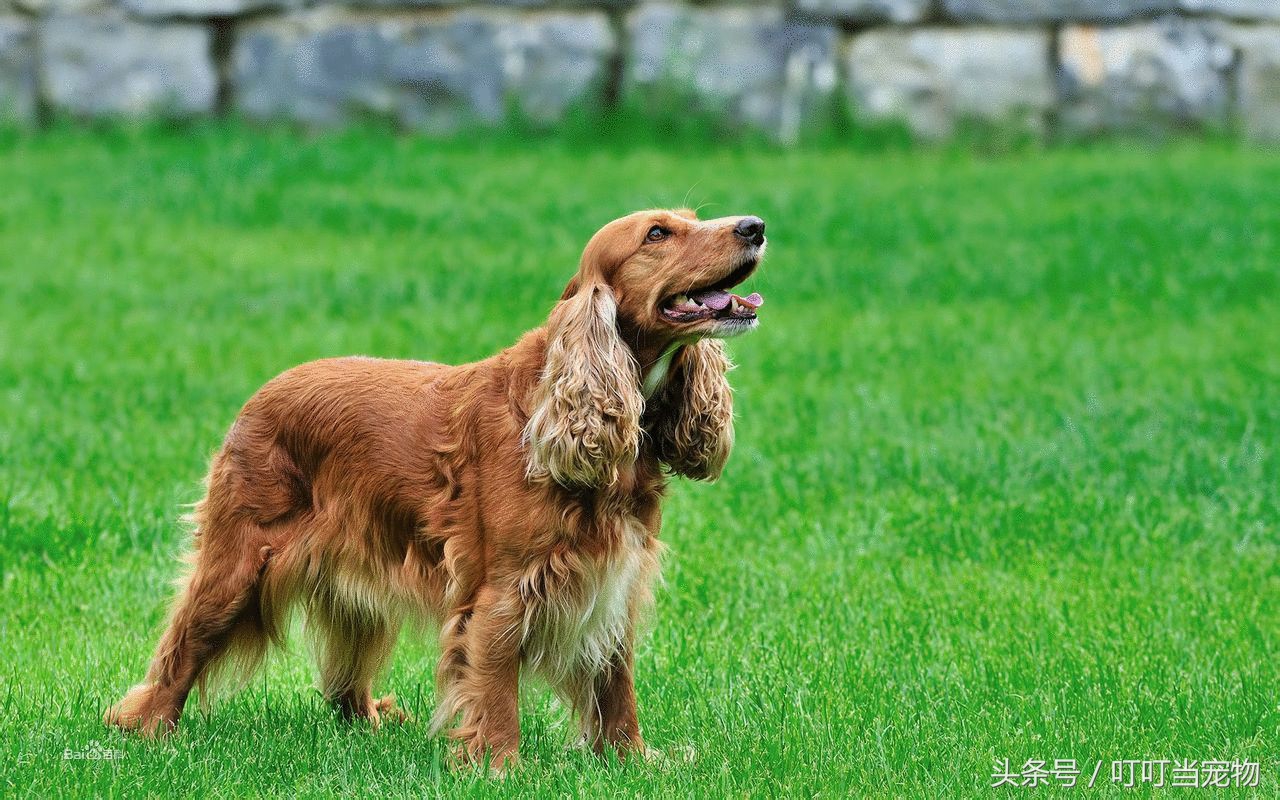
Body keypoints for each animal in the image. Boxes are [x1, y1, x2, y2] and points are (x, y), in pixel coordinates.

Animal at [104, 207, 762, 768]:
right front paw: (501, 766)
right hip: (239, 561)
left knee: (343, 681)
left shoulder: (615, 578)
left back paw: (370, 721)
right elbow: (495, 686)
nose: (754, 226)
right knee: (181, 649)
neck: (554, 404)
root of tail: (260, 394)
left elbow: (616, 683)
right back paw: (147, 729)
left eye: (695, 218)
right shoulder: (503, 590)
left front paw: (631, 761)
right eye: (658, 234)